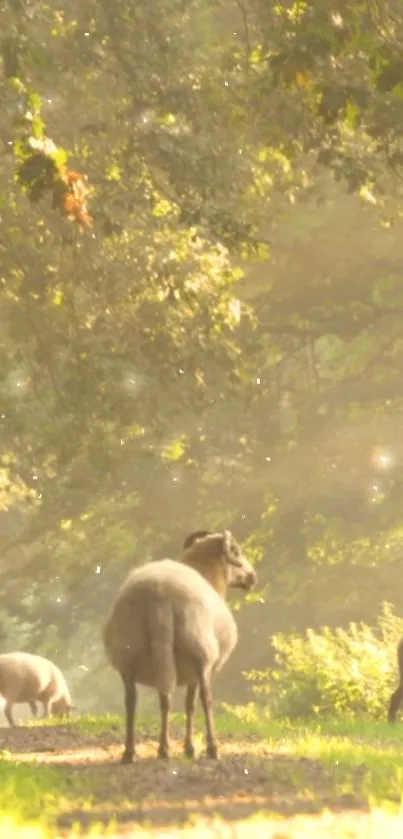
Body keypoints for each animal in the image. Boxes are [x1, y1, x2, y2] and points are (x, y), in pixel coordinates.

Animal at [103, 536, 256, 764]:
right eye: (236, 551)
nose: (252, 577)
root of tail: (160, 596)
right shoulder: (196, 669)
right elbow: (191, 704)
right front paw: (190, 748)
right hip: (199, 652)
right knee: (205, 699)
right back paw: (211, 748)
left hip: (128, 655)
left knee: (137, 701)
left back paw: (135, 751)